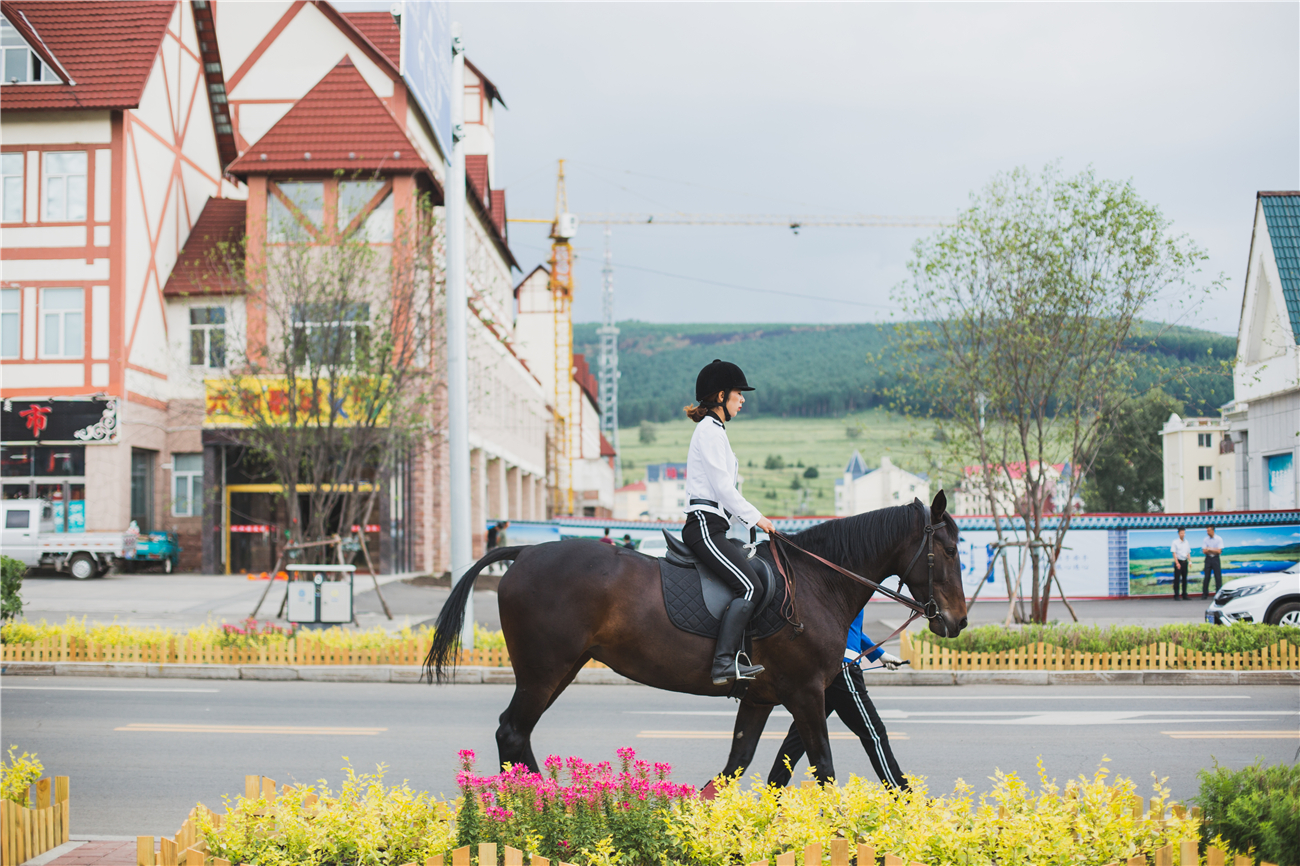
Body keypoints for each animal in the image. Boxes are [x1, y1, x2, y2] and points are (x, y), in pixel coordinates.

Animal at [426, 491, 967, 780]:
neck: (817, 582)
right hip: (544, 671)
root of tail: (525, 552)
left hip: (559, 669)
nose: (957, 621)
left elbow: (738, 764)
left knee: (518, 735)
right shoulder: (807, 691)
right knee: (512, 732)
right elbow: (825, 767)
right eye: (946, 551)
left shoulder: (763, 696)